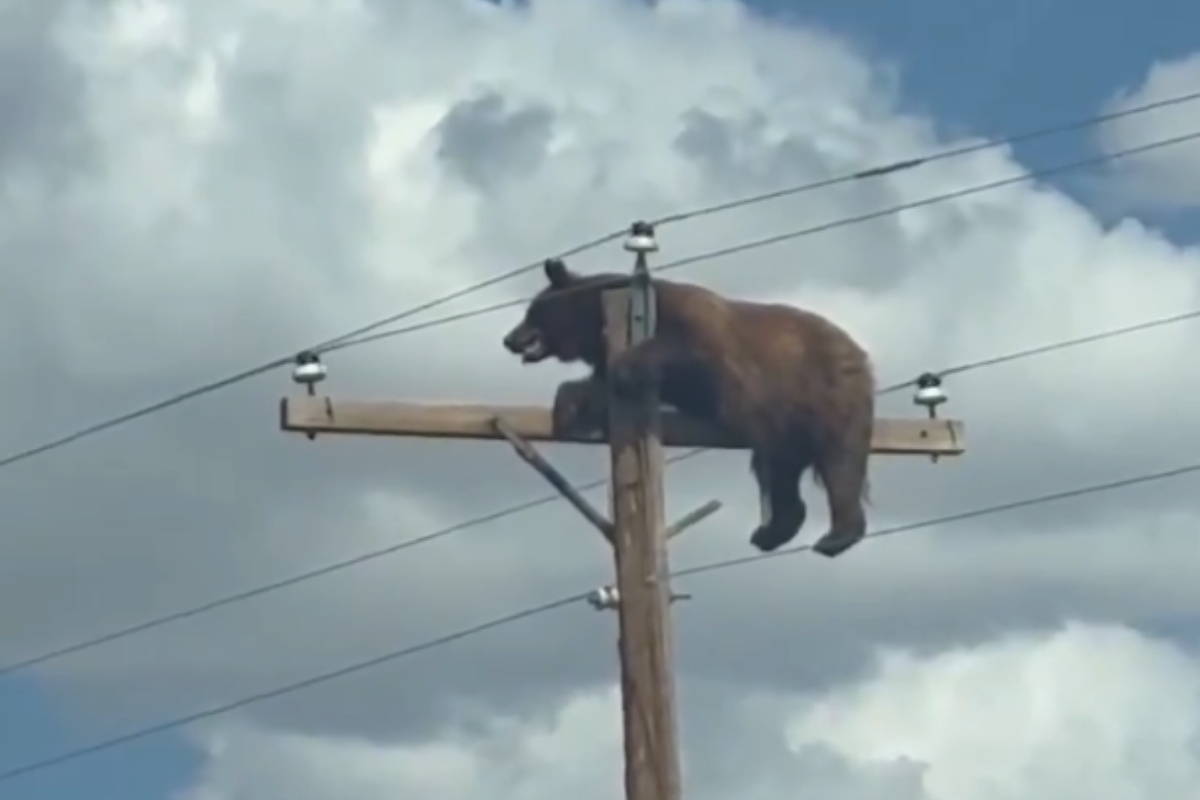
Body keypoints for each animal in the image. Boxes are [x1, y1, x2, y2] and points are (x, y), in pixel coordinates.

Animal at [502, 258, 874, 558]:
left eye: (531, 311)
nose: (509, 339)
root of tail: (859, 352)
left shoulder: (696, 331)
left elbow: (683, 351)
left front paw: (622, 371)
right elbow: (597, 386)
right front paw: (567, 406)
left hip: (826, 392)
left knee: (840, 460)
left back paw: (836, 536)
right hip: (783, 423)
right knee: (778, 469)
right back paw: (771, 532)